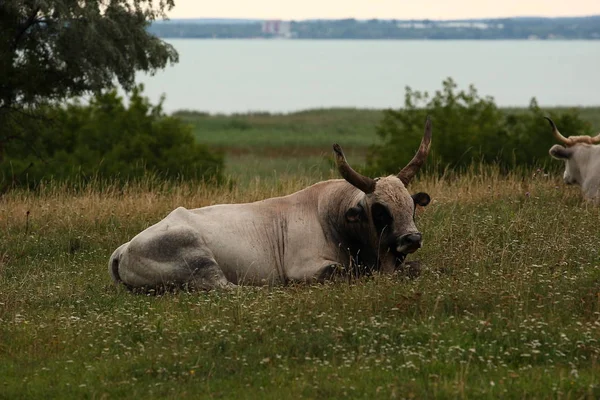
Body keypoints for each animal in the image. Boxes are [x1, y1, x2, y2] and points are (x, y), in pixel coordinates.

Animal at [110, 117, 434, 290]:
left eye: (411, 206)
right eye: (380, 211)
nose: (412, 238)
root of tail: (124, 248)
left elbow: (418, 267)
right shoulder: (307, 269)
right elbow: (346, 273)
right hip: (198, 260)